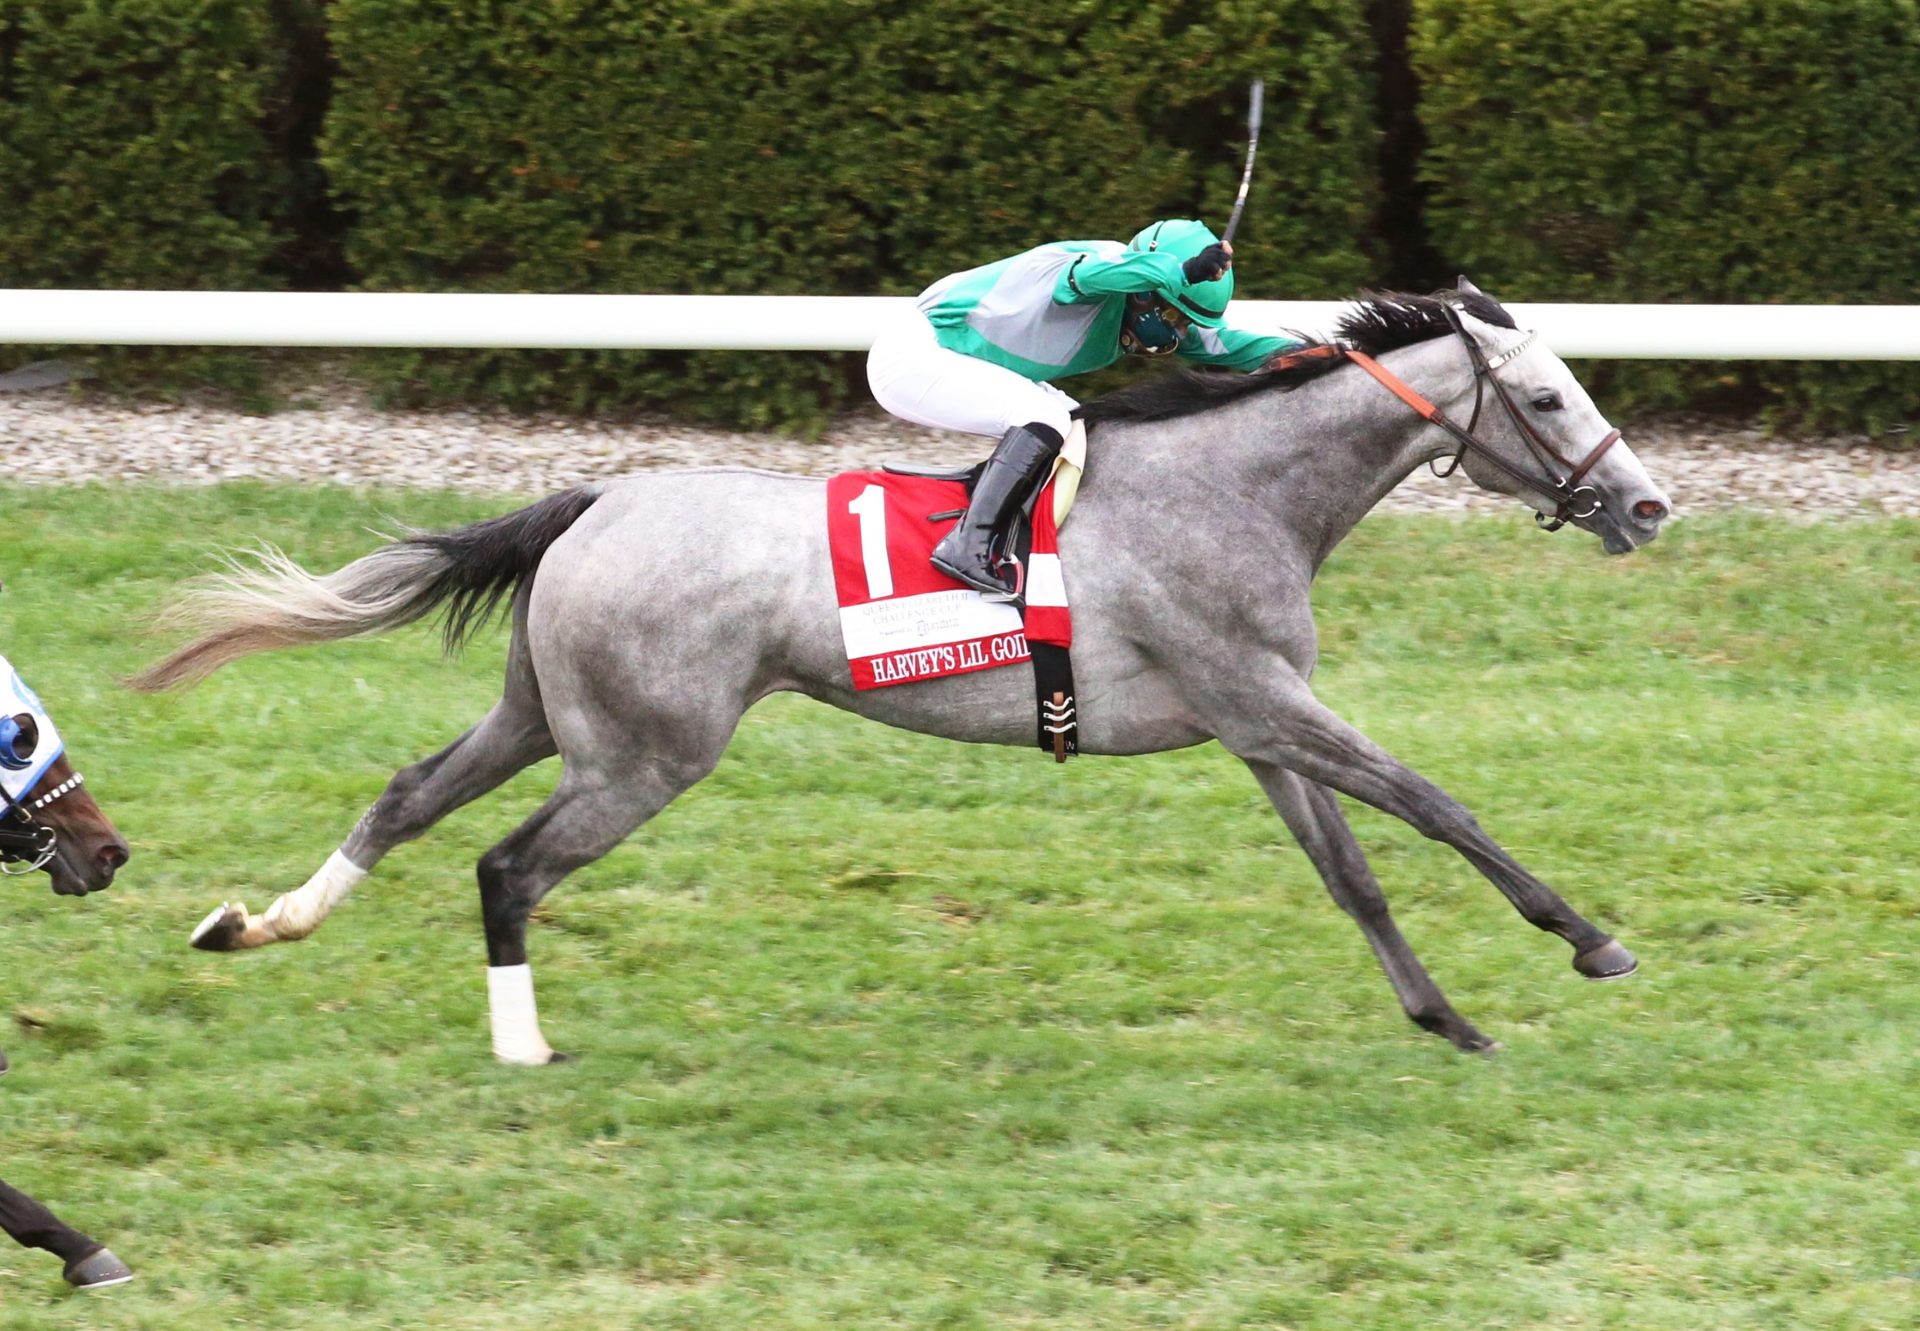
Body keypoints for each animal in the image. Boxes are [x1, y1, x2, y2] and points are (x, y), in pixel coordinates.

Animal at [131, 280, 1666, 1060]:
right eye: (1546, 396)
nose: (1647, 505)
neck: (1236, 488)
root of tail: (597, 498)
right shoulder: (1264, 696)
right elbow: (1437, 803)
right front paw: (1591, 937)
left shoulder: (1255, 721)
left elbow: (1354, 870)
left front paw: (1444, 1014)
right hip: (647, 751)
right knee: (508, 867)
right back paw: (521, 1045)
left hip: (544, 714)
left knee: (404, 794)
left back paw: (255, 923)